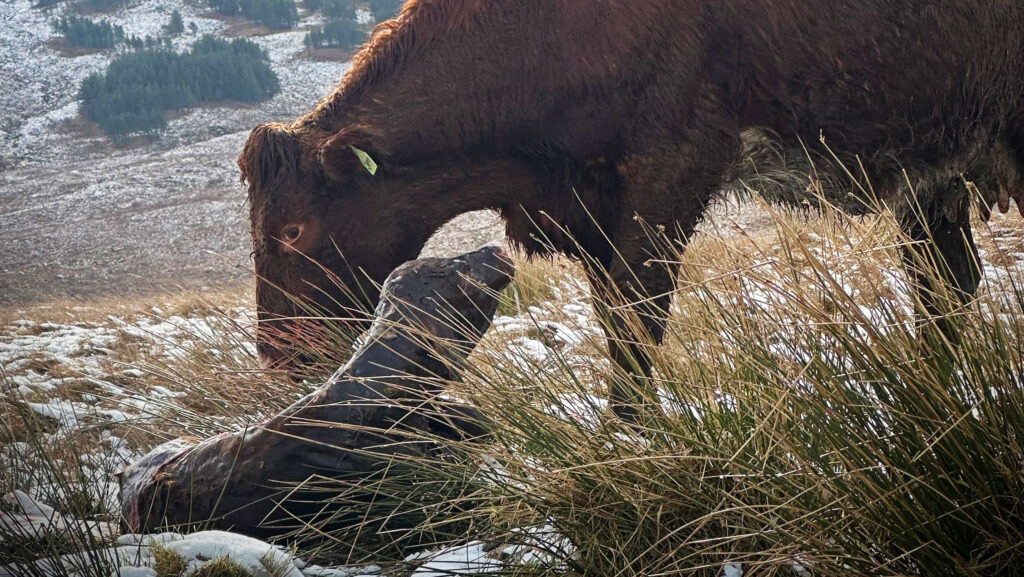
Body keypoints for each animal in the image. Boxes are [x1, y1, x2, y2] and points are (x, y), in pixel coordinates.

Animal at [238, 0, 1024, 422]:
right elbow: (617, 316)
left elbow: (637, 321)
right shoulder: (592, 214)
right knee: (945, 284)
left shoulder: (667, 177)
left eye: (293, 229)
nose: (282, 356)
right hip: (931, 178)